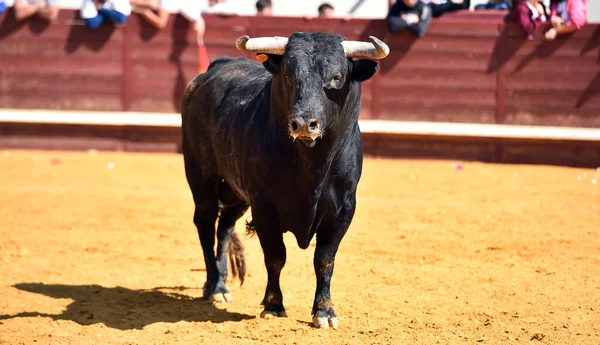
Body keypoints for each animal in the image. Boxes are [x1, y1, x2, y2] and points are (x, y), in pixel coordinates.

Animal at [180, 32, 392, 328]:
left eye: (336, 78)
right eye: (289, 77)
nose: (303, 124)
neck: (313, 166)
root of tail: (212, 70)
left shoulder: (344, 208)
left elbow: (324, 259)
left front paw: (325, 312)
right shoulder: (264, 207)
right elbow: (275, 256)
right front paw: (273, 306)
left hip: (236, 191)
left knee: (224, 227)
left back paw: (222, 282)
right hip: (202, 175)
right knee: (205, 223)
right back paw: (215, 287)